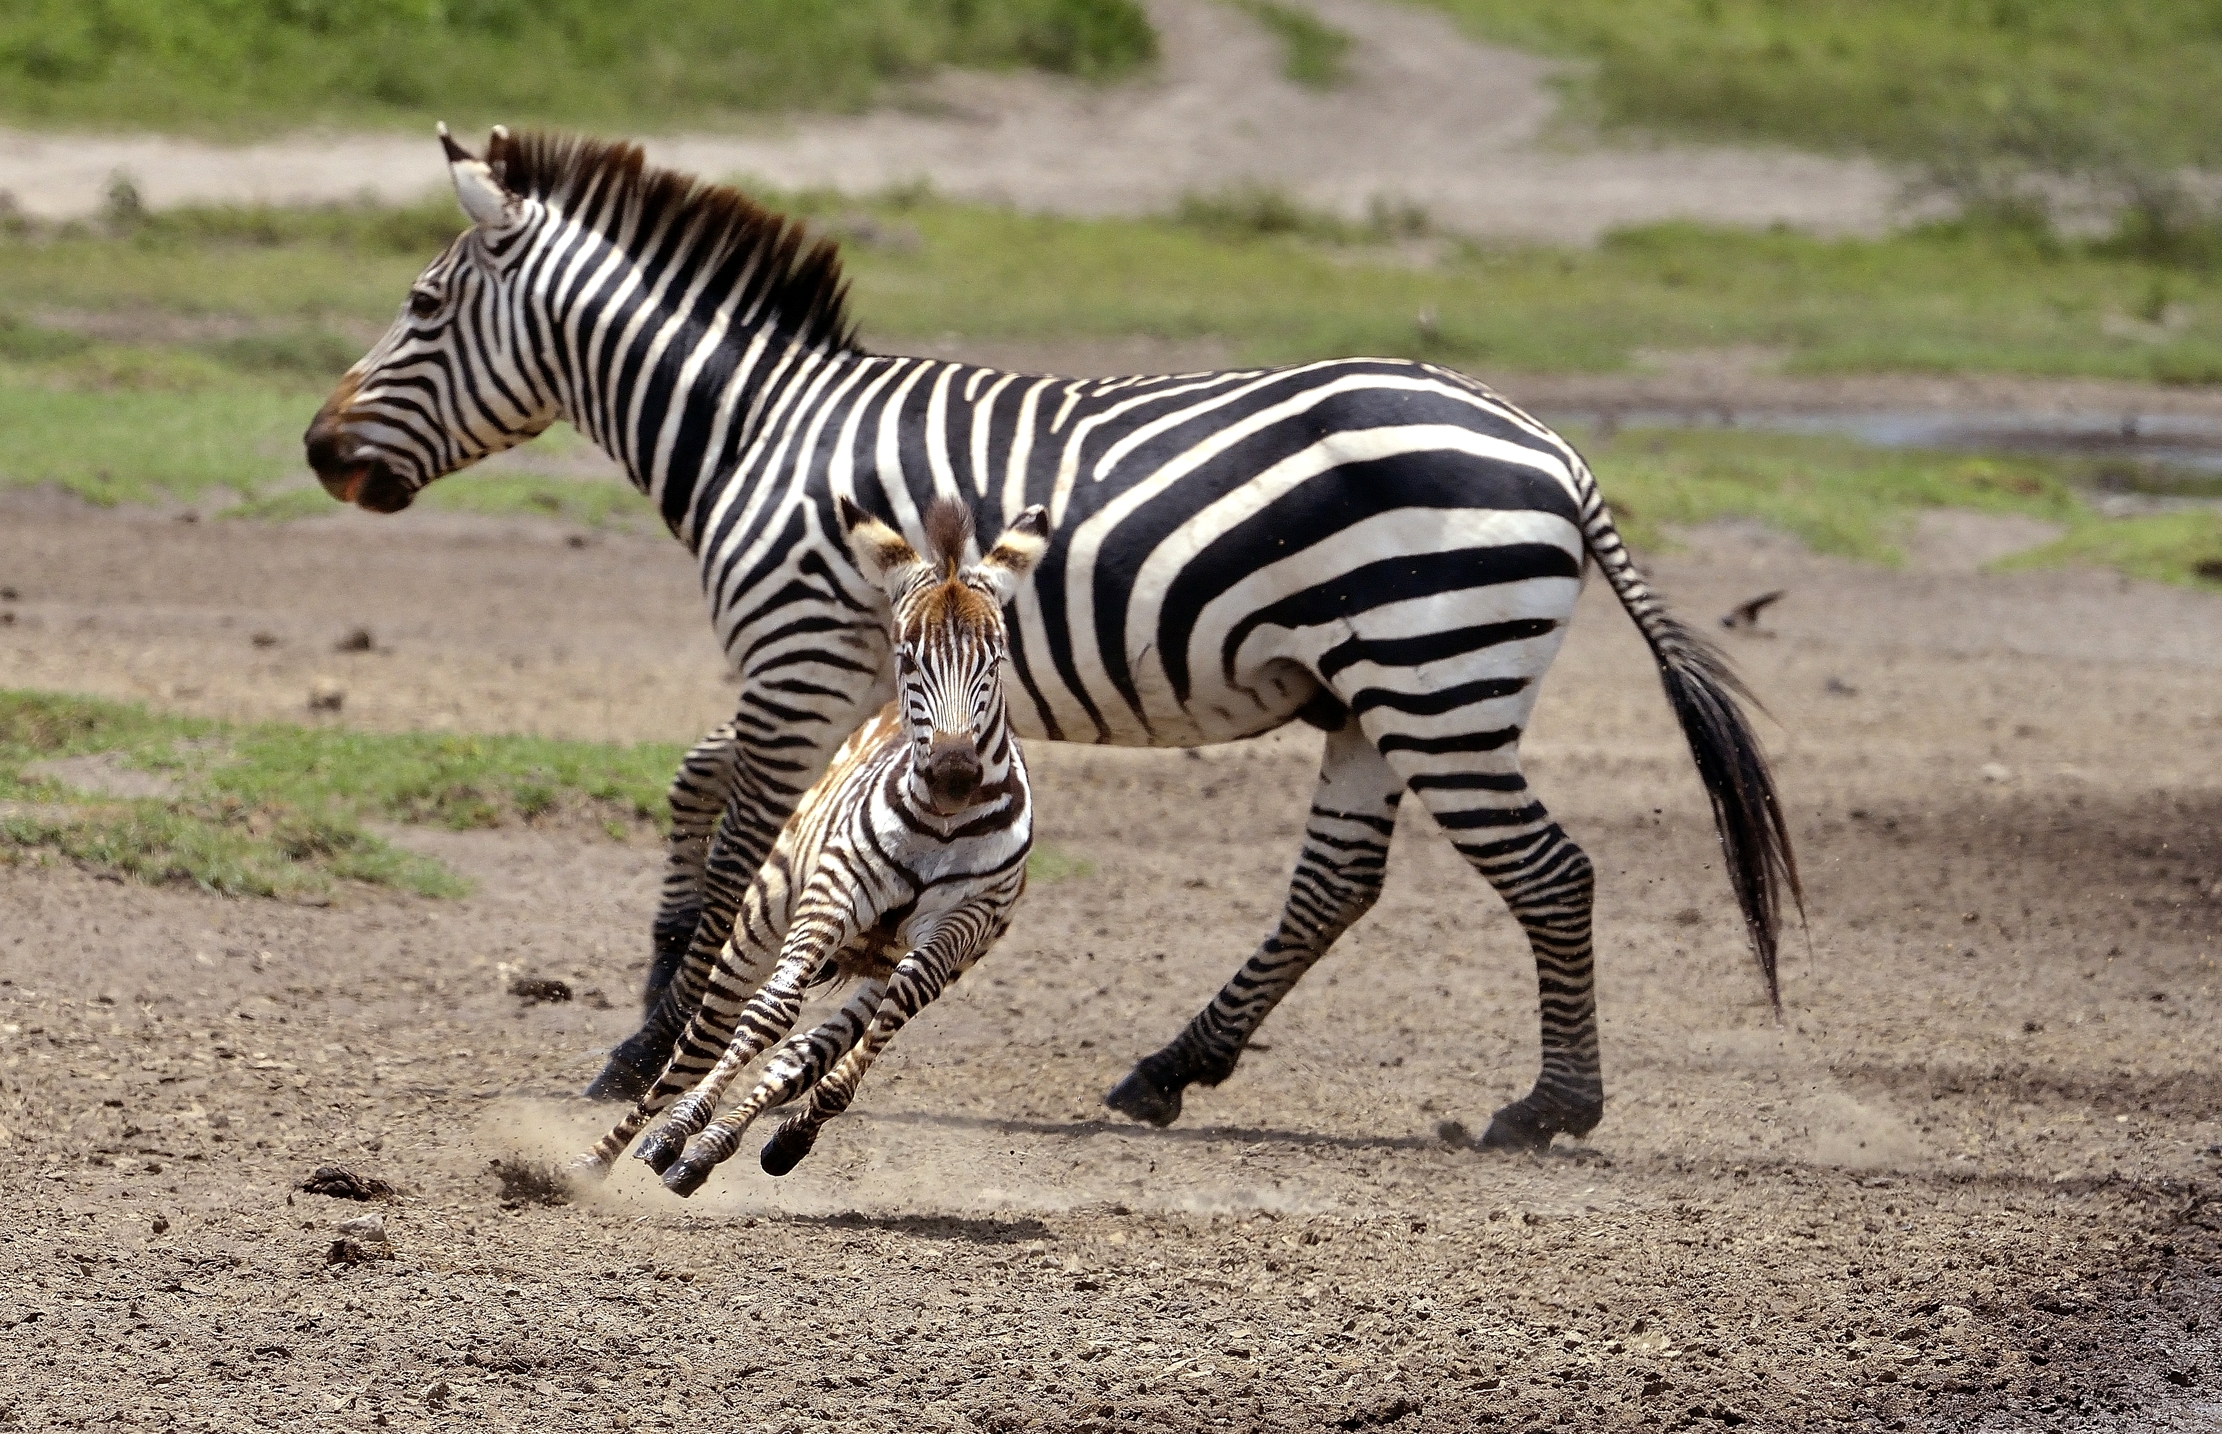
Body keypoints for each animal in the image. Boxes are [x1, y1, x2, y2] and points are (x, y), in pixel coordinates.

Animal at [575, 497, 1045, 1191]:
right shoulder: (836, 892)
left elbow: (871, 1025)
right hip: (766, 911)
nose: (954, 776)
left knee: (806, 1051)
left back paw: (711, 1146)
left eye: (997, 660)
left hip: (881, 960)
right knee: (709, 1036)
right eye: (909, 657)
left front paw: (790, 1133)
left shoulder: (959, 924)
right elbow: (770, 1013)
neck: (941, 824)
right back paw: (620, 1149)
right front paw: (676, 1133)